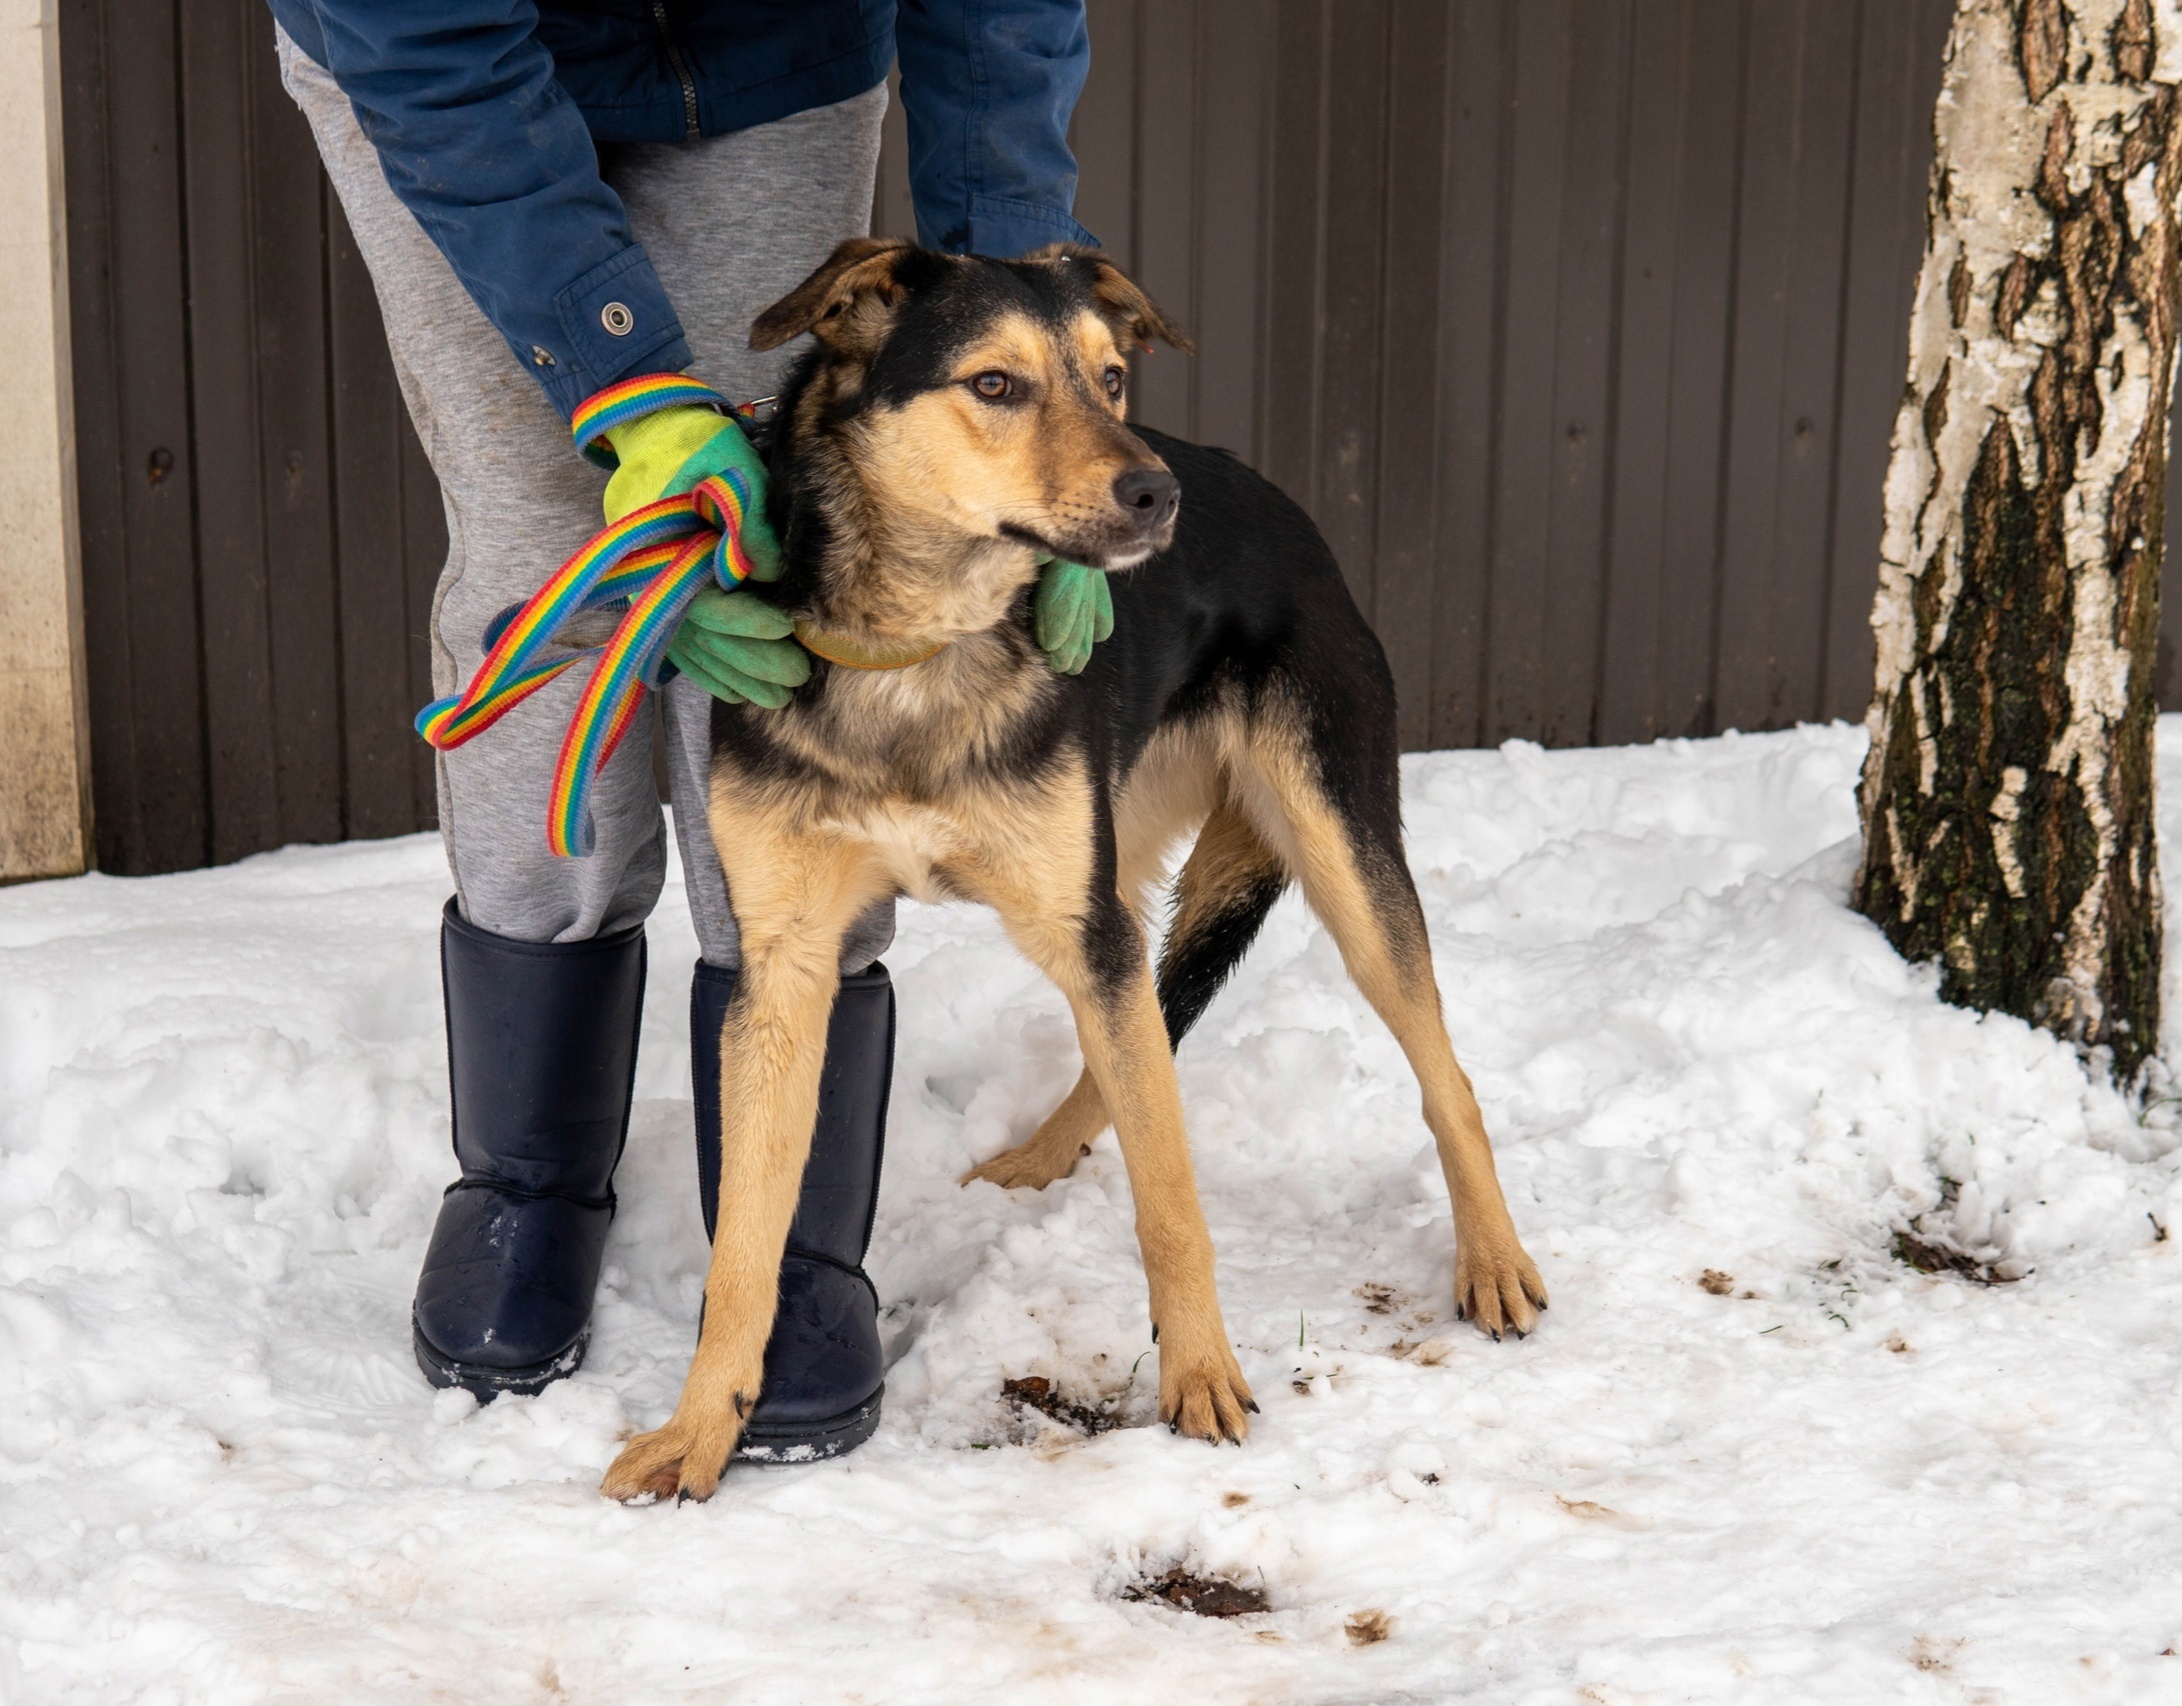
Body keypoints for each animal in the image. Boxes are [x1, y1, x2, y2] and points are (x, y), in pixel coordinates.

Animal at [602, 244, 1553, 1509]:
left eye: (1109, 377)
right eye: (996, 384)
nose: (1158, 493)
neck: (918, 650)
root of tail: (1288, 509)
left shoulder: (1080, 919)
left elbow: (1172, 1198)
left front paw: (1201, 1374)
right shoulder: (786, 962)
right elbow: (745, 1246)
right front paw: (700, 1428)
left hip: (1330, 854)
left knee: (1437, 1067)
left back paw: (1491, 1257)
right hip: (1119, 861)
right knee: (1146, 1025)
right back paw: (1040, 1157)